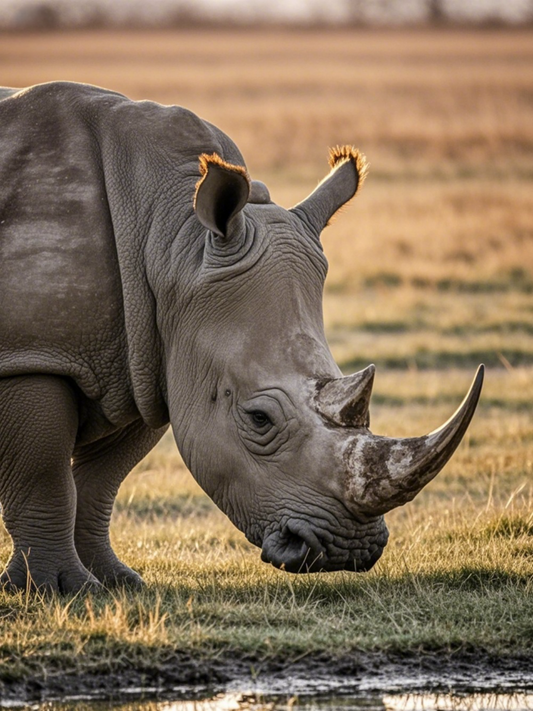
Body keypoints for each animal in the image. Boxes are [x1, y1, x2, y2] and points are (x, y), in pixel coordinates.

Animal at [0, 82, 483, 593]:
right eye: (259, 418)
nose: (346, 551)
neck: (170, 241)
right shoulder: (33, 353)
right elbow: (44, 476)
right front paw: (59, 590)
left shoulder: (146, 357)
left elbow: (101, 481)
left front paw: (117, 583)